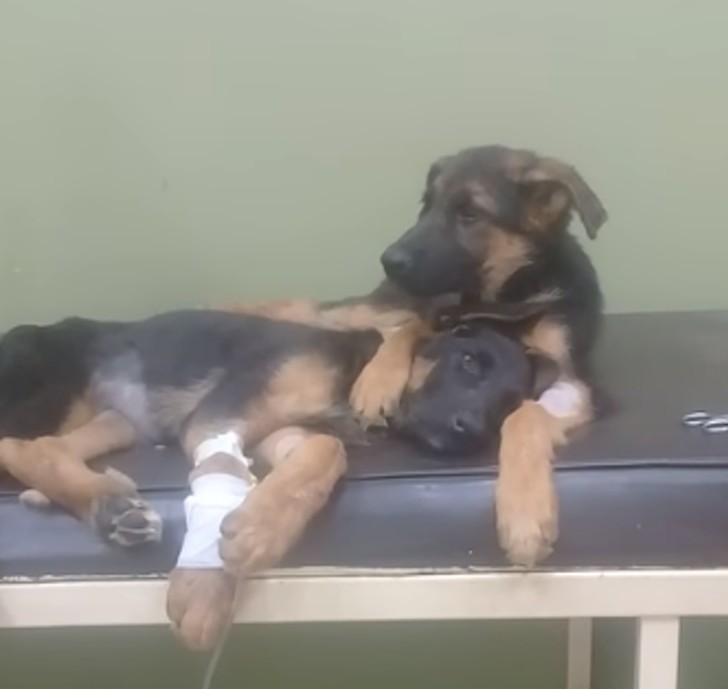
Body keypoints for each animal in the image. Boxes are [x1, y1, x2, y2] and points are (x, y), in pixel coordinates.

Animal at [0, 310, 552, 648]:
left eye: (508, 404)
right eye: (468, 362)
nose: (470, 431)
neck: (353, 370)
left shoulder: (281, 433)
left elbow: (325, 451)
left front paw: (258, 529)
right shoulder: (216, 419)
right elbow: (226, 469)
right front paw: (206, 585)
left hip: (114, 421)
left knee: (41, 447)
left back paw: (98, 504)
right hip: (50, 395)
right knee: (16, 445)